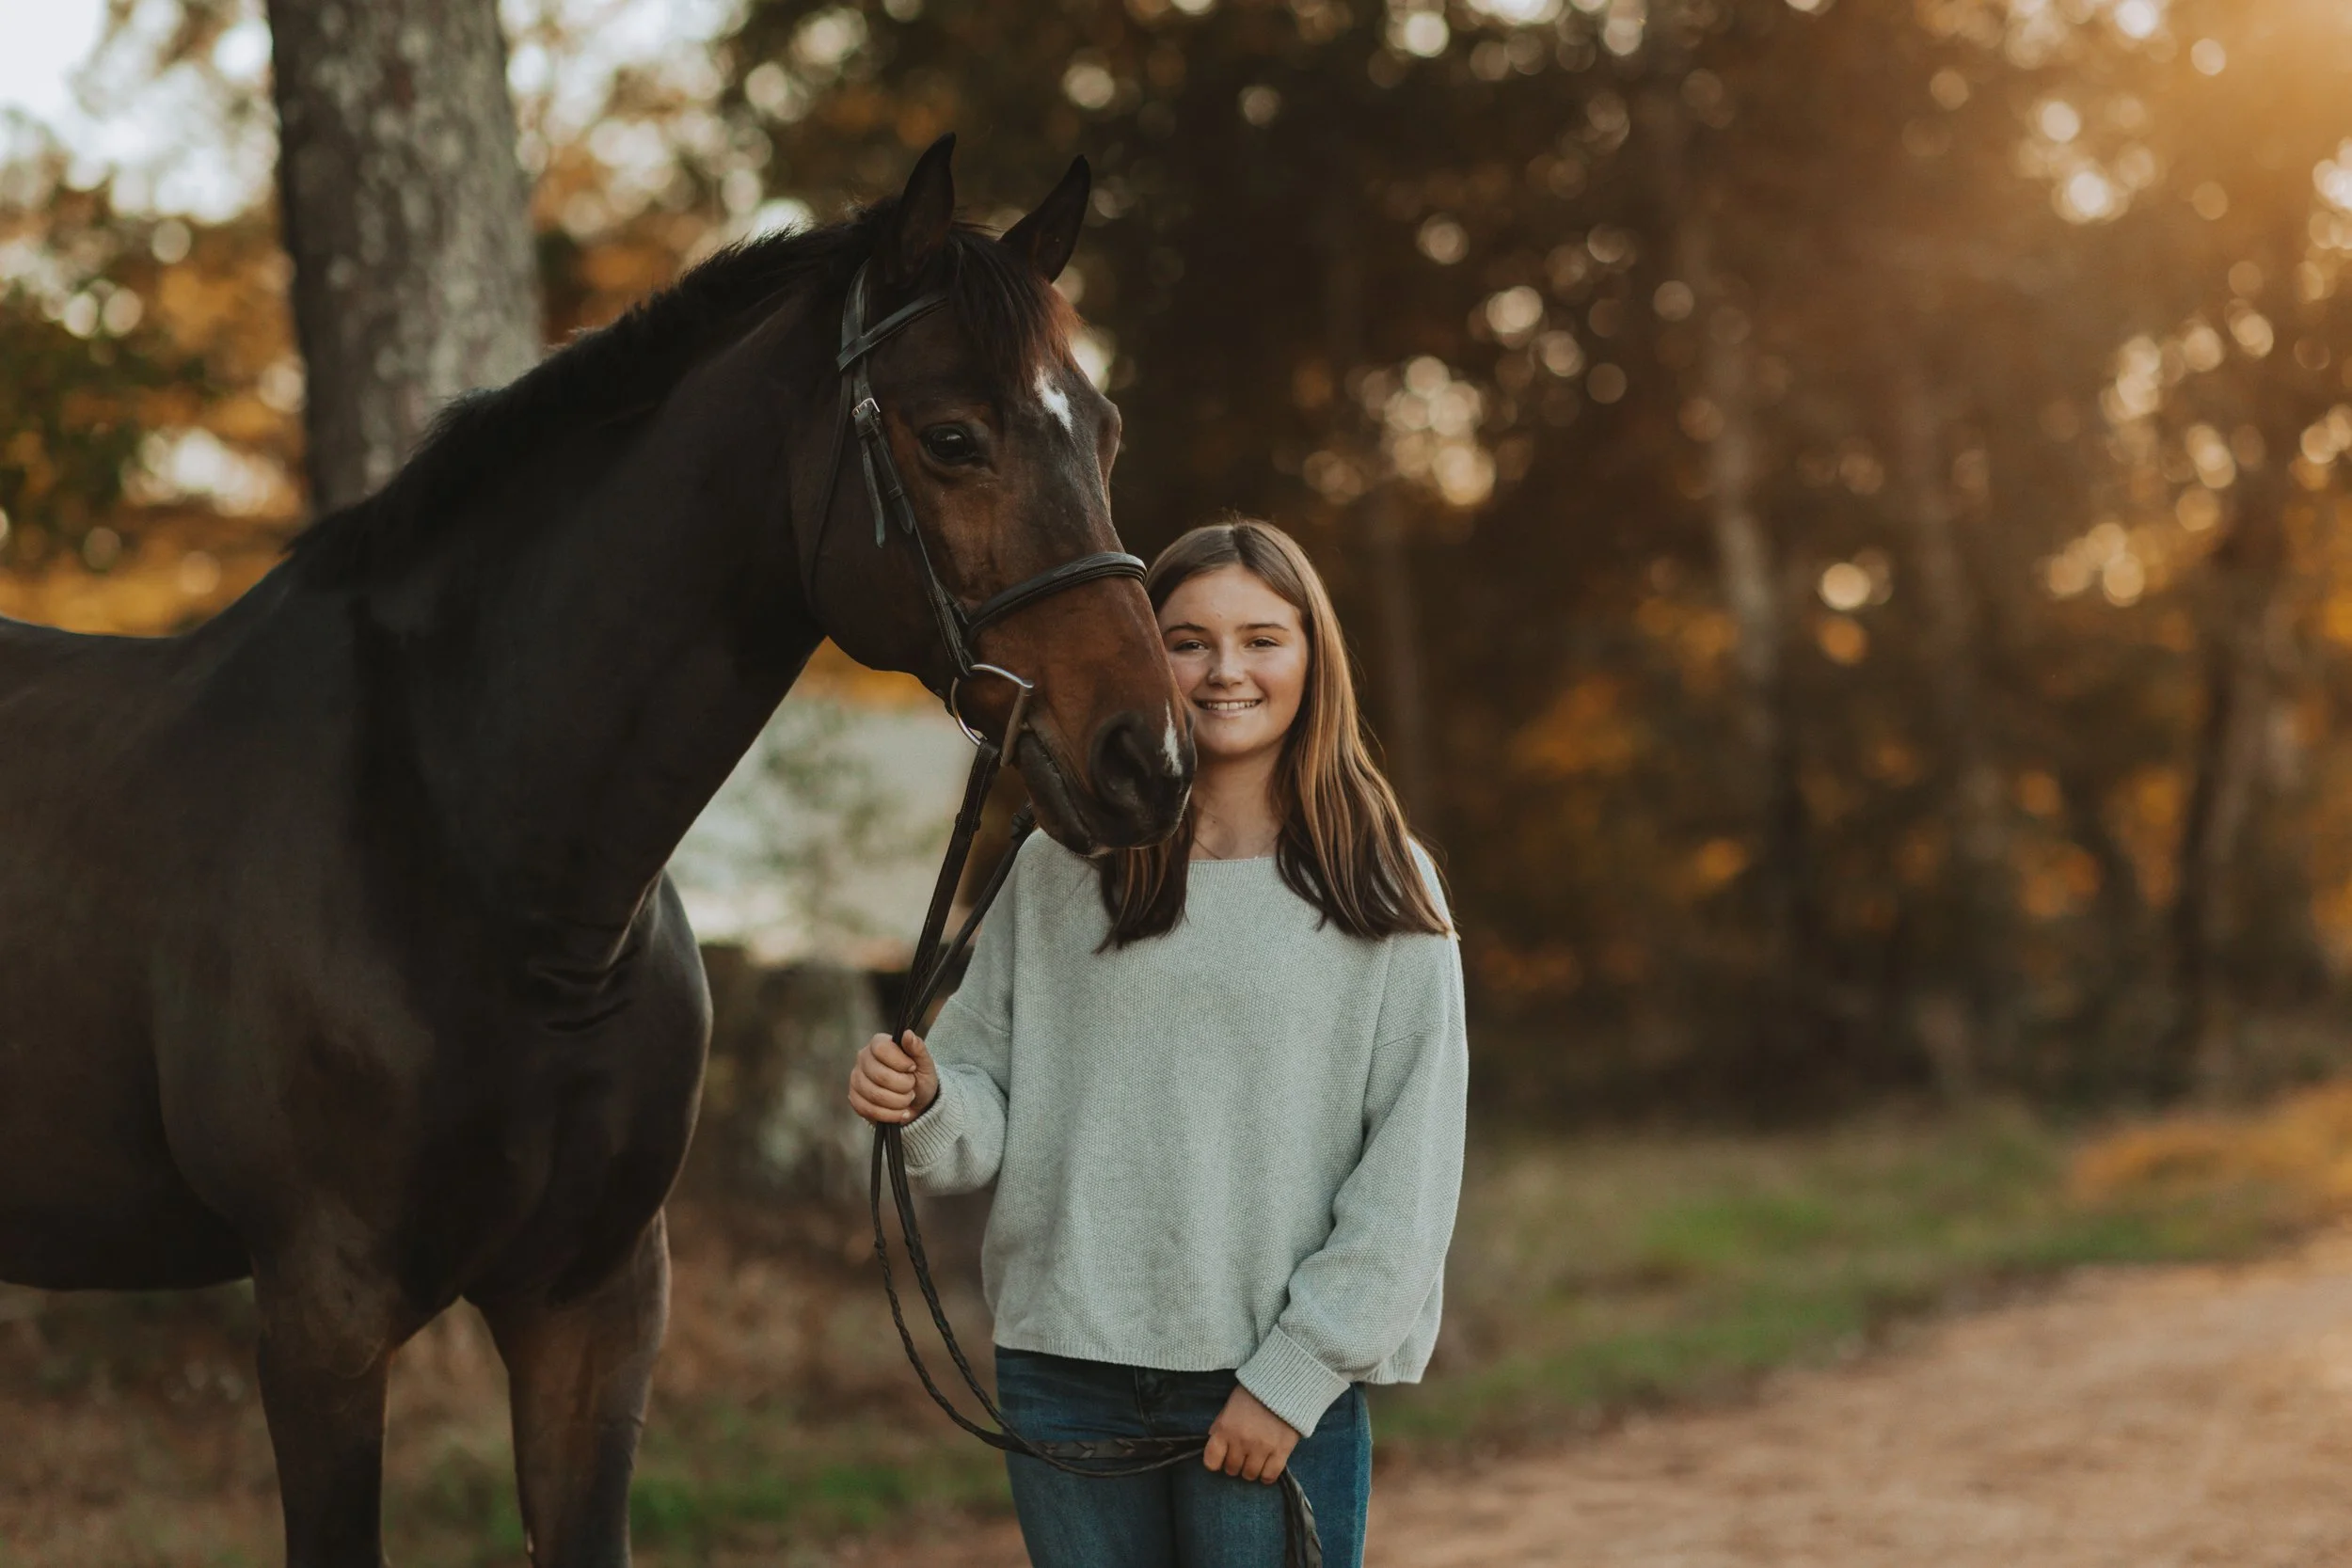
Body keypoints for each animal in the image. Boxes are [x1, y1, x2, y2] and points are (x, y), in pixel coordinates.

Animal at [0, 135, 1191, 1566]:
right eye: (953, 436)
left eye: (1105, 431)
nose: (1146, 756)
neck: (474, 858)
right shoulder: (320, 1316)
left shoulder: (595, 1307)